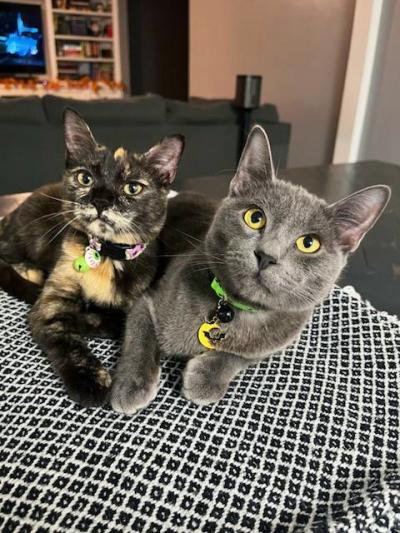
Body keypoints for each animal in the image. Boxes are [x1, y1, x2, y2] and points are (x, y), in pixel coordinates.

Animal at [0, 109, 184, 408]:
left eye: (133, 188)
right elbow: (64, 336)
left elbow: (116, 321)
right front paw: (89, 381)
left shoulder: (140, 303)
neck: (106, 256)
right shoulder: (51, 303)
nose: (101, 201)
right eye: (85, 179)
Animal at [111, 123, 390, 412]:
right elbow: (139, 339)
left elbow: (241, 356)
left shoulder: (278, 340)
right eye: (255, 217)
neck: (235, 309)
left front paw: (205, 377)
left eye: (309, 243)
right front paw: (131, 386)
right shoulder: (148, 301)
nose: (267, 255)